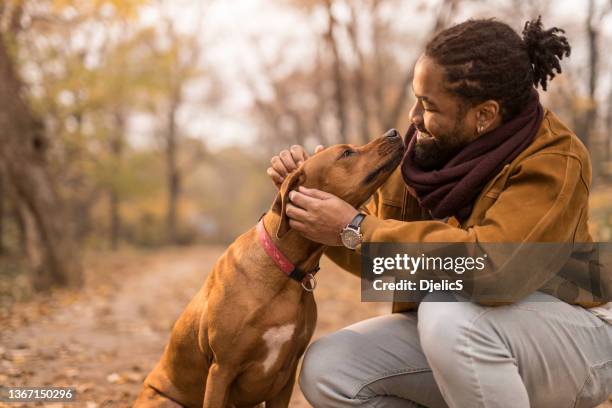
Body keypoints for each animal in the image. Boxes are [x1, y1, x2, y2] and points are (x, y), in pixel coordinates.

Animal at [131, 131, 404, 408]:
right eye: (346, 153)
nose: (394, 132)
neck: (284, 269)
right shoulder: (221, 369)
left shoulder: (286, 375)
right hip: (166, 400)